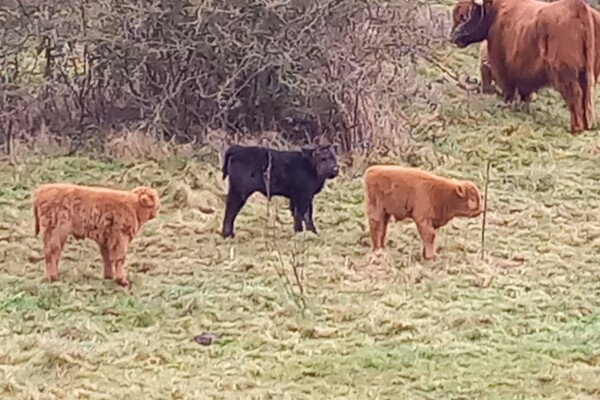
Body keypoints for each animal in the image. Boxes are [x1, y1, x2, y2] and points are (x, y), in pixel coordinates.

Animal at [31, 184, 159, 288]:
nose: (158, 208)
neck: (134, 207)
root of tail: (40, 190)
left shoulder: (106, 240)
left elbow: (107, 257)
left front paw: (109, 276)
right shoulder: (120, 237)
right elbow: (119, 258)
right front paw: (122, 280)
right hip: (55, 231)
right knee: (51, 252)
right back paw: (52, 278)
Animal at [450, 0, 596, 135]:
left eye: (464, 16)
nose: (453, 37)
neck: (496, 13)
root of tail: (578, 7)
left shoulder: (502, 67)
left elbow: (509, 90)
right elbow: (524, 94)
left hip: (565, 73)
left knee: (575, 94)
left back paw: (576, 128)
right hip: (585, 74)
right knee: (585, 97)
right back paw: (585, 126)